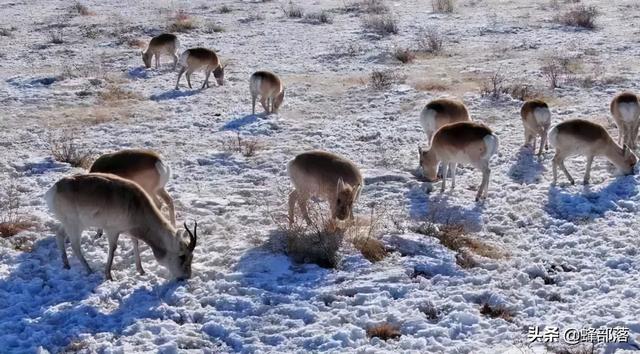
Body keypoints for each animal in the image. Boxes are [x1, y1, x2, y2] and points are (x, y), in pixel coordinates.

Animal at [44, 173, 198, 280]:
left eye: (191, 257)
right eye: (182, 256)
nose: (186, 277)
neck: (136, 205)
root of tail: (53, 190)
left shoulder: (129, 230)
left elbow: (135, 243)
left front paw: (141, 270)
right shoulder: (112, 230)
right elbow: (113, 249)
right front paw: (108, 275)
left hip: (69, 223)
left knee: (59, 234)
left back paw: (66, 265)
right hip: (75, 225)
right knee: (75, 246)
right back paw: (89, 270)